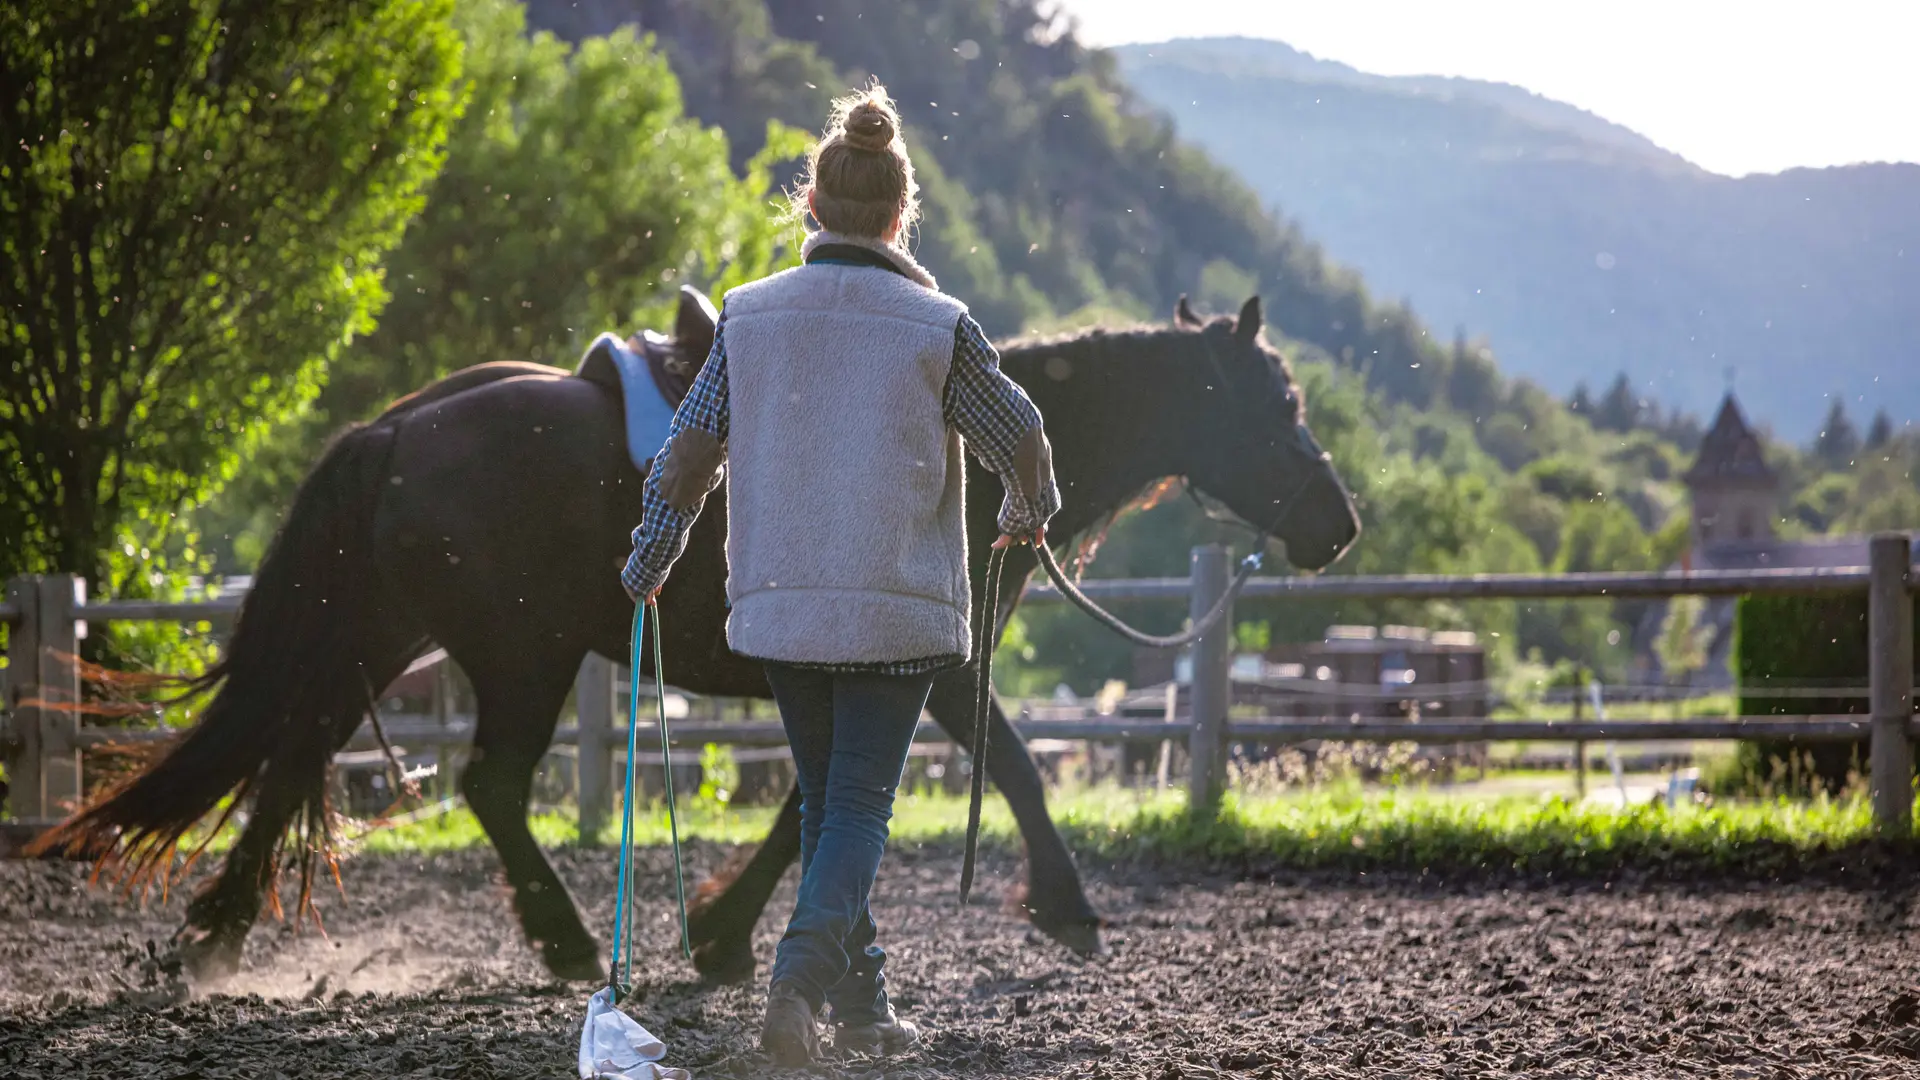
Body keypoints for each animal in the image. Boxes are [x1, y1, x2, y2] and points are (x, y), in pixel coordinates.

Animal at [26, 286, 1351, 983]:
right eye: (1279, 402)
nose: (1336, 523)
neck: (957, 449)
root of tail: (400, 426)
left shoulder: (859, 664)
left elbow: (815, 798)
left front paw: (721, 932)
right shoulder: (933, 661)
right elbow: (1010, 764)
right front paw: (1067, 903)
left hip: (392, 631)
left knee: (300, 747)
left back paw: (220, 926)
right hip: (519, 658)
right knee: (486, 781)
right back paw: (564, 938)